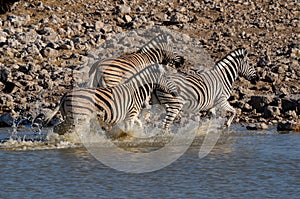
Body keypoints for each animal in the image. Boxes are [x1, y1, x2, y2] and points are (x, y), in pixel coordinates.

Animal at [43, 63, 179, 132]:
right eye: (168, 78)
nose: (177, 93)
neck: (136, 91)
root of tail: (66, 94)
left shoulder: (132, 115)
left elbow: (139, 124)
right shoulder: (130, 115)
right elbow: (129, 130)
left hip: (69, 118)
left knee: (58, 128)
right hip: (79, 118)